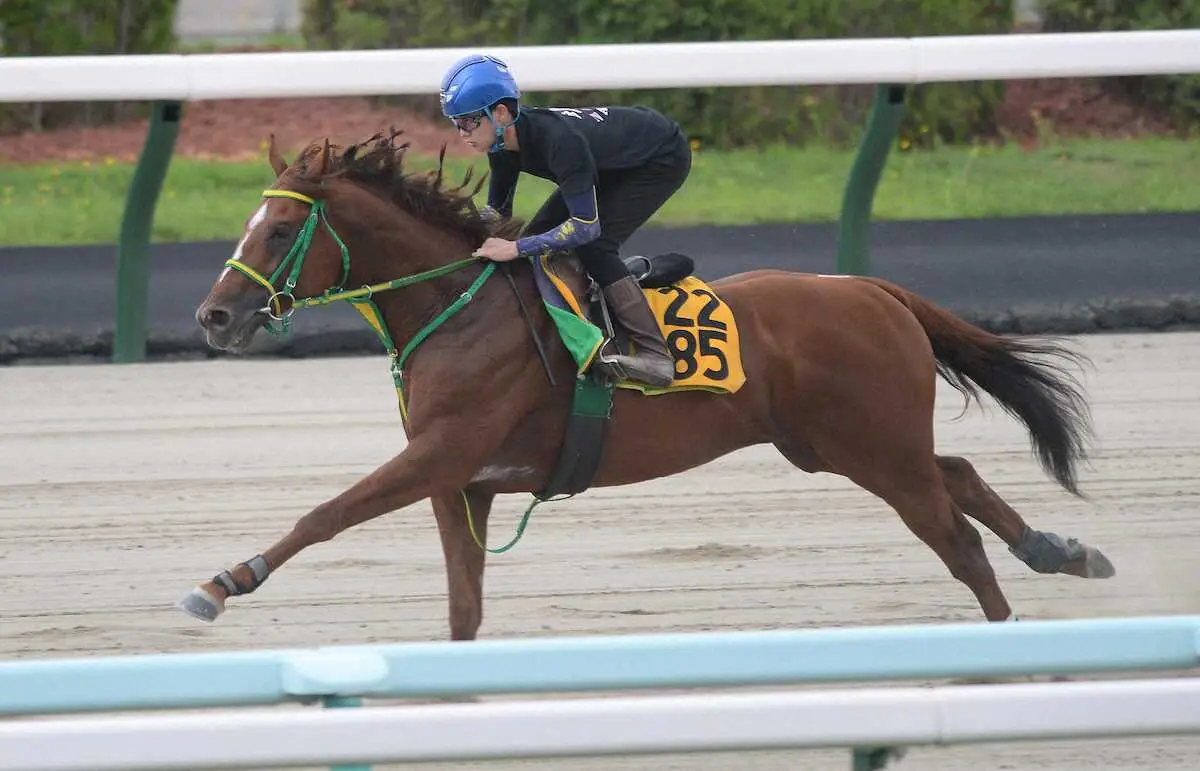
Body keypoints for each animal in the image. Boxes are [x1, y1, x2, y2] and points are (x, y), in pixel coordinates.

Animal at [180, 129, 1113, 638]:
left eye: (282, 228)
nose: (214, 316)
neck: (458, 309)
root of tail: (872, 288)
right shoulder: (459, 480)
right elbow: (463, 607)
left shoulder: (443, 451)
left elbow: (326, 512)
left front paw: (223, 582)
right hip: (835, 444)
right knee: (959, 474)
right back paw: (1059, 549)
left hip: (873, 448)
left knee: (956, 537)